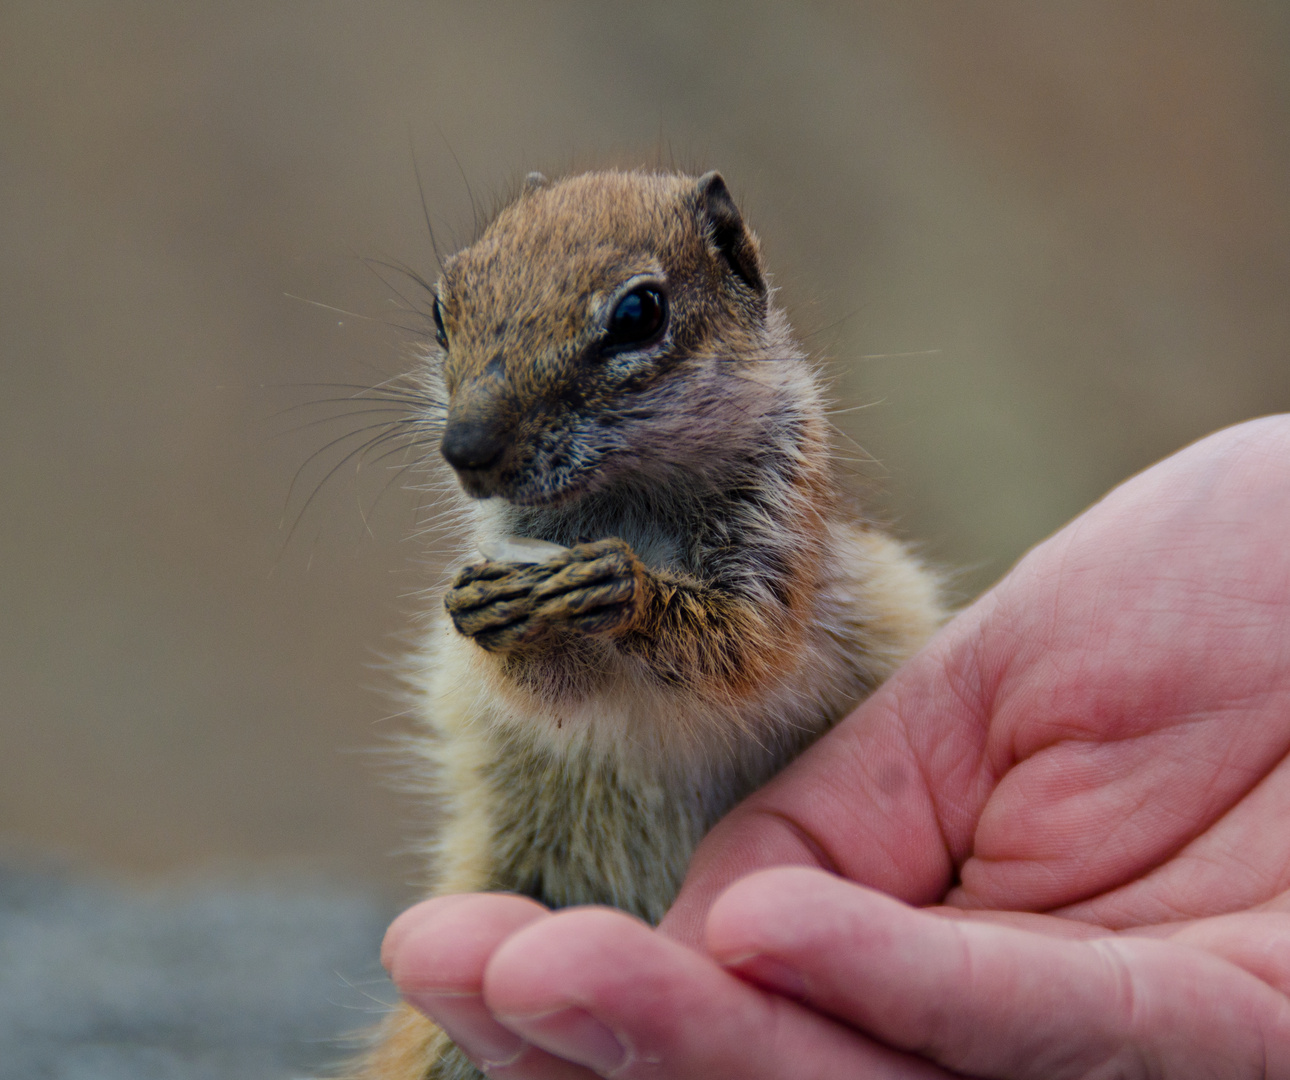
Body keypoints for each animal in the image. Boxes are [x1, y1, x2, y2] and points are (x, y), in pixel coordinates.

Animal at [353, 170, 949, 1078]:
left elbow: (741, 643)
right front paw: (487, 609)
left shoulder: (777, 540)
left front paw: (620, 586)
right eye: (439, 309)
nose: (466, 448)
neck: (630, 498)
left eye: (638, 313)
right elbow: (545, 688)